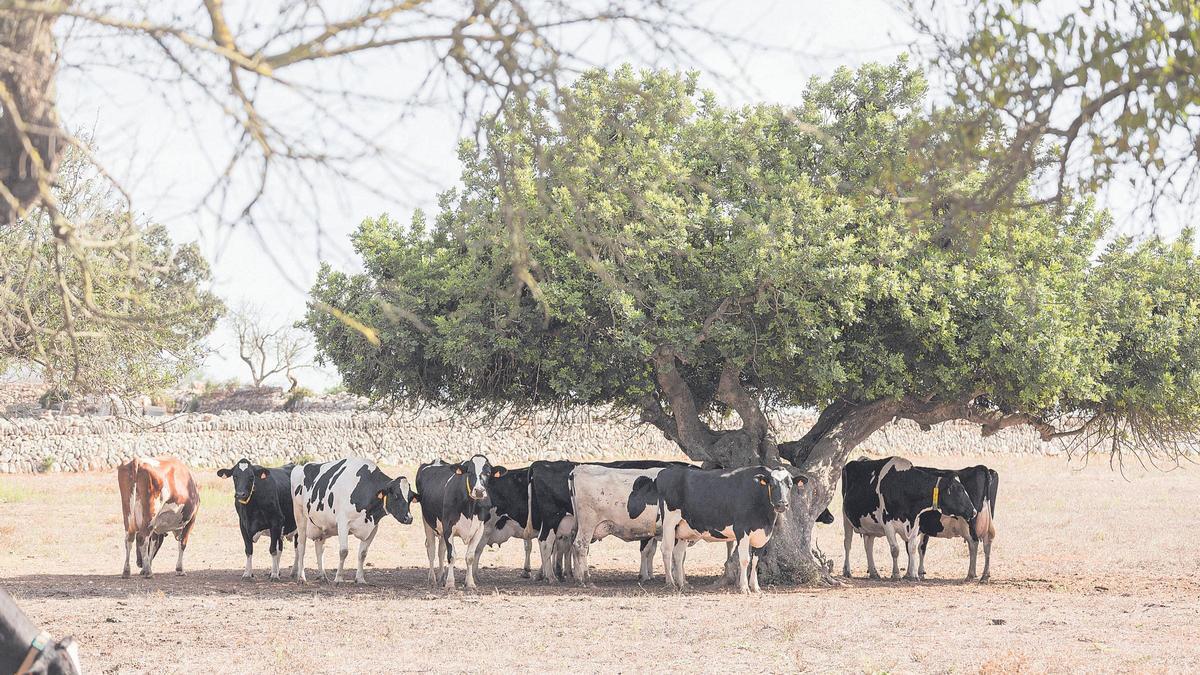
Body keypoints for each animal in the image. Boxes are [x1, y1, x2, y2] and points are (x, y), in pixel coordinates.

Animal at [415, 451, 504, 588]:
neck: (470, 509)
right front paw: (450, 583)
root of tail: (437, 461)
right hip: (428, 522)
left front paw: (470, 583)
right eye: (470, 472)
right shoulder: (448, 527)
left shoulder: (479, 529)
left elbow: (470, 557)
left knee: (441, 550)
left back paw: (441, 577)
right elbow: (451, 556)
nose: (479, 491)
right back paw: (432, 578)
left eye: (488, 472)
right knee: (431, 550)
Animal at [648, 466, 796, 590]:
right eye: (772, 484)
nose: (782, 504)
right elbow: (745, 559)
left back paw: (682, 584)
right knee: (666, 550)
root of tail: (666, 471)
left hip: (683, 529)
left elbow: (755, 560)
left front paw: (755, 587)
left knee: (678, 554)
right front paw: (744, 587)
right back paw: (671, 583)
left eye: (790, 485)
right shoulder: (741, 530)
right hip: (669, 523)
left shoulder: (763, 534)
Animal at [840, 456, 979, 578]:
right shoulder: (887, 523)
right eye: (959, 491)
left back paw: (874, 572)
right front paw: (896, 574)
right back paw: (847, 571)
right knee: (847, 544)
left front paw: (913, 574)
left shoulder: (915, 522)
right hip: (845, 517)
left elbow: (912, 548)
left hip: (869, 526)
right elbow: (895, 549)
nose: (974, 511)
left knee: (868, 546)